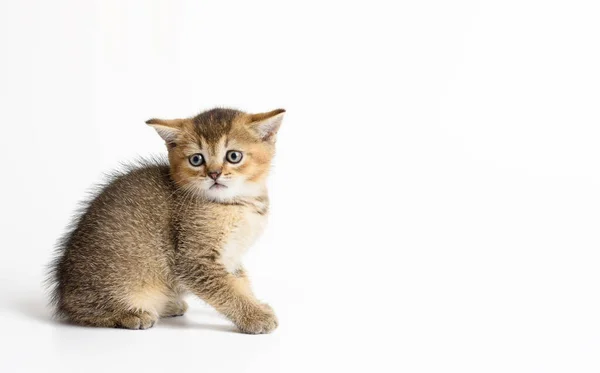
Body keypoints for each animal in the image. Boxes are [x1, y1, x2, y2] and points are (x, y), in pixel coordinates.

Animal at [48, 107, 284, 332]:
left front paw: (256, 306)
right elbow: (227, 290)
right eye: (196, 159)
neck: (237, 204)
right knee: (82, 311)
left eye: (233, 156)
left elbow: (240, 283)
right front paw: (255, 317)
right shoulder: (193, 259)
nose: (214, 174)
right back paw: (130, 314)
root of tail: (62, 293)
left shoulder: (231, 257)